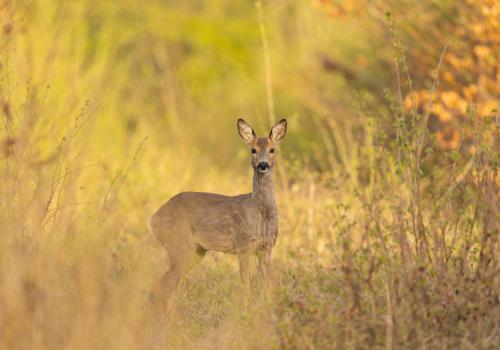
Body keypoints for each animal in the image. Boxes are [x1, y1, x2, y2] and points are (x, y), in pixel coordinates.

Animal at [148, 117, 288, 314]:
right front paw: (245, 313)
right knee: (163, 285)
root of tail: (152, 219)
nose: (263, 165)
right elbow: (245, 285)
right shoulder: (243, 245)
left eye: (272, 149)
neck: (260, 215)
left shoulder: (266, 248)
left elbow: (269, 287)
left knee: (163, 284)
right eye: (253, 149)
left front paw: (272, 313)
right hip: (179, 245)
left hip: (196, 251)